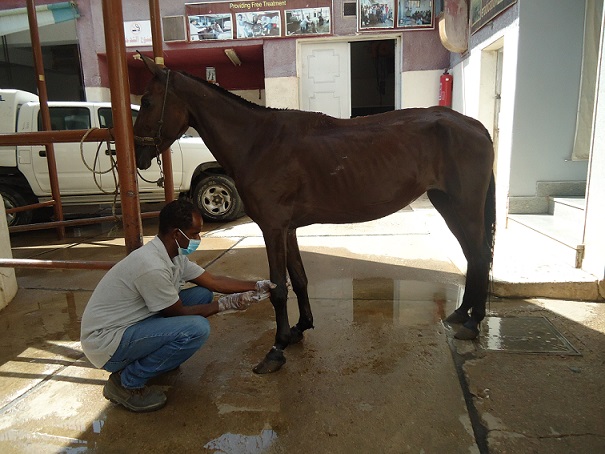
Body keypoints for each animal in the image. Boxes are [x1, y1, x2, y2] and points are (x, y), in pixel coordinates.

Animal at [133, 54, 496, 372]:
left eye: (147, 101)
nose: (138, 155)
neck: (258, 142)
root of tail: (475, 126)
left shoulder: (272, 228)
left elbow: (279, 288)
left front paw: (276, 348)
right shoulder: (287, 228)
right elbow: (299, 279)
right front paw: (299, 328)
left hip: (463, 206)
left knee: (478, 254)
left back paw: (473, 322)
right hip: (447, 203)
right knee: (472, 254)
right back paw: (462, 314)